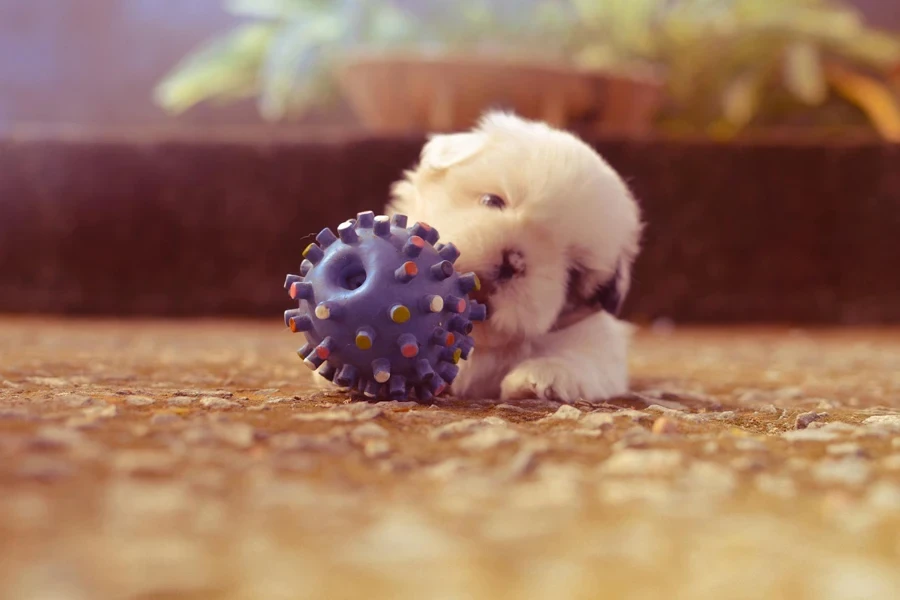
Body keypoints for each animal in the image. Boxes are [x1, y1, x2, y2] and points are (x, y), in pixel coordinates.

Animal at [386, 111, 640, 404]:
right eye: (491, 200)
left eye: (573, 273)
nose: (514, 262)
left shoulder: (601, 347)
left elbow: (584, 360)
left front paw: (542, 377)